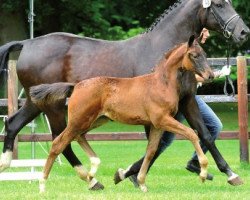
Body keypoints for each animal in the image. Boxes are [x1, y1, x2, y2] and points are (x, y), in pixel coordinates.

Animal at [29, 36, 213, 193]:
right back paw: (42, 184)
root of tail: (76, 86)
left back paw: (92, 170)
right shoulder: (162, 120)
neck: (162, 84)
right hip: (78, 120)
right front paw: (203, 172)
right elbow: (191, 133)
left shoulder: (157, 125)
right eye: (194, 55)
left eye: (205, 54)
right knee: (58, 143)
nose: (210, 75)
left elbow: (151, 151)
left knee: (79, 136)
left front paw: (142, 183)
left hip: (95, 120)